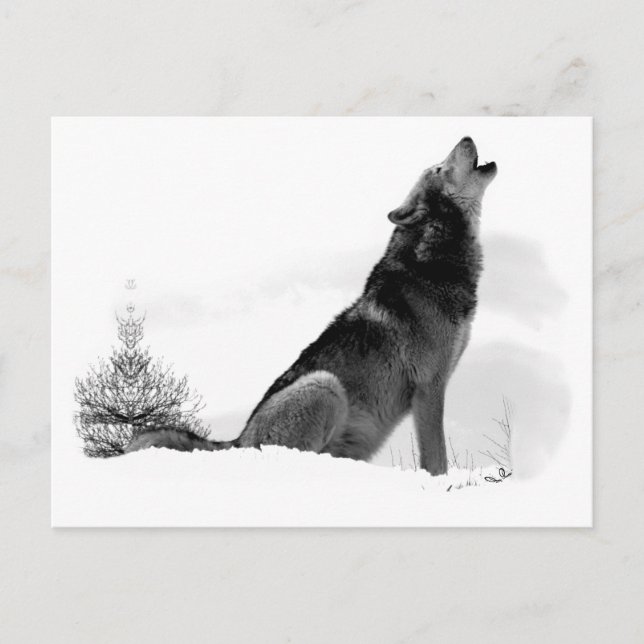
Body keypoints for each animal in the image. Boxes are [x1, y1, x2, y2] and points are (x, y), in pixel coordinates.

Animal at [126, 137, 497, 475]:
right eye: (439, 168)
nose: (466, 137)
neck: (432, 261)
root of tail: (238, 441)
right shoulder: (429, 387)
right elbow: (437, 460)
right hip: (324, 385)